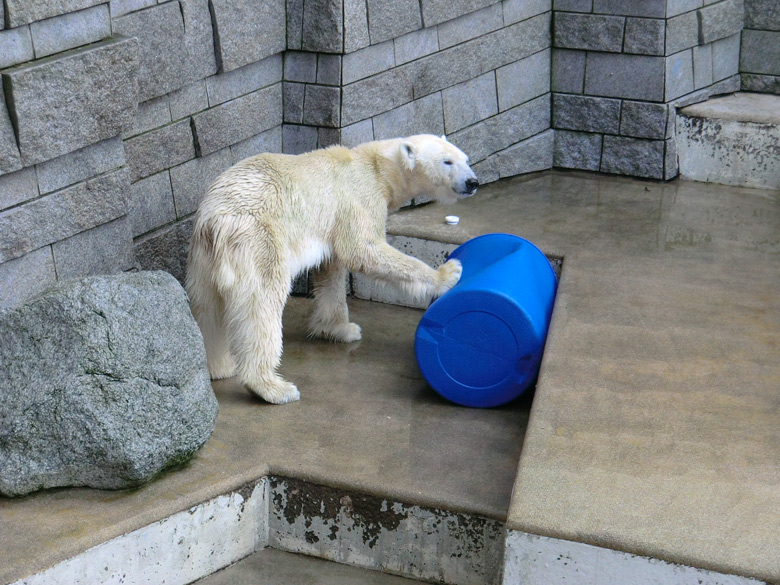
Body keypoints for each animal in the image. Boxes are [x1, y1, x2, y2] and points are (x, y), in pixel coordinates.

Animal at [186, 135, 478, 404]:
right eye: (447, 161)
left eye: (465, 159)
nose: (472, 182)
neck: (378, 167)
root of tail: (216, 220)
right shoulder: (359, 198)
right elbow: (363, 249)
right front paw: (447, 273)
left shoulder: (334, 223)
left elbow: (332, 271)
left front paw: (342, 329)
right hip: (258, 238)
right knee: (262, 301)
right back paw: (273, 387)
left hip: (204, 257)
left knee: (208, 306)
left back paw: (219, 366)